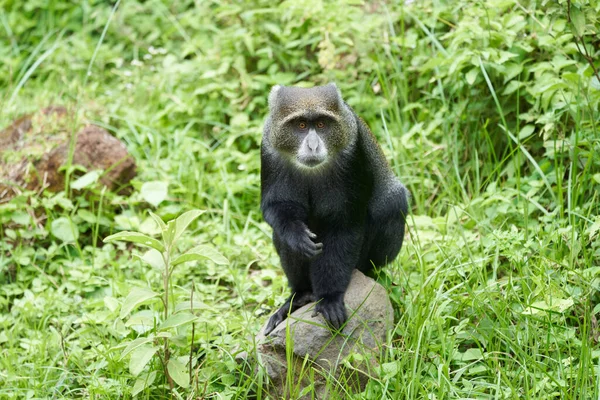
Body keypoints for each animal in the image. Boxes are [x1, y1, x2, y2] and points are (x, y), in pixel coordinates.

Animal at [260, 83, 410, 336]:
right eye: (301, 125)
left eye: (321, 124)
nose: (313, 145)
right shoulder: (268, 149)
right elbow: (275, 207)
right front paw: (296, 235)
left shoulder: (353, 153)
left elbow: (344, 227)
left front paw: (330, 298)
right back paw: (300, 296)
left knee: (392, 204)